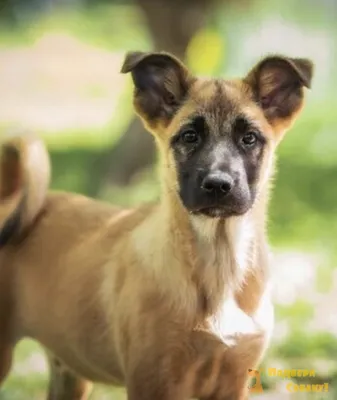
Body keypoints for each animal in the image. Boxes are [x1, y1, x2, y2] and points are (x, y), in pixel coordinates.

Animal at [0, 53, 312, 400]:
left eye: (249, 138)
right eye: (189, 137)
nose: (218, 185)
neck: (218, 262)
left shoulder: (235, 380)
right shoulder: (154, 380)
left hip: (69, 371)